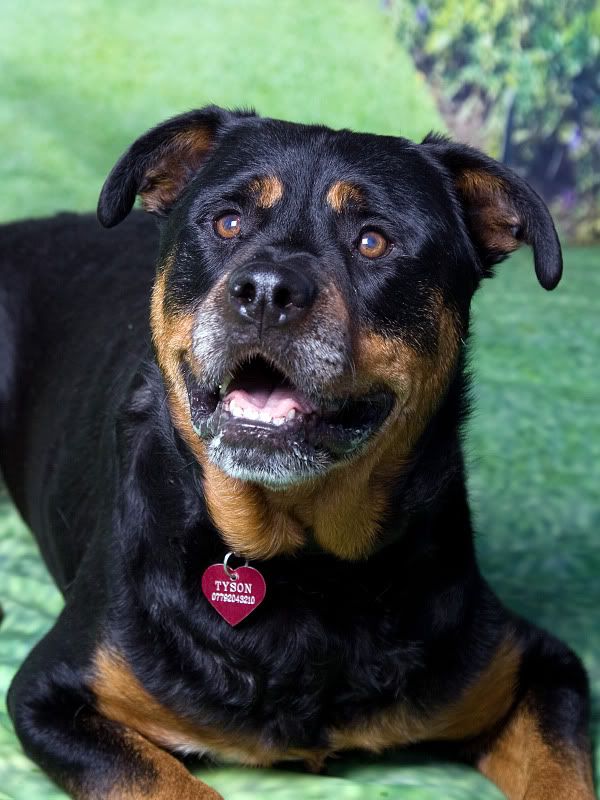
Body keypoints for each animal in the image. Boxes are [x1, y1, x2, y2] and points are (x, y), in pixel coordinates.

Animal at [0, 108, 596, 800]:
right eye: (228, 222)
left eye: (373, 241)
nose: (264, 290)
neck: (304, 565)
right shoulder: (48, 693)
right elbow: (164, 781)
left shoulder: (538, 667)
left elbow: (562, 776)